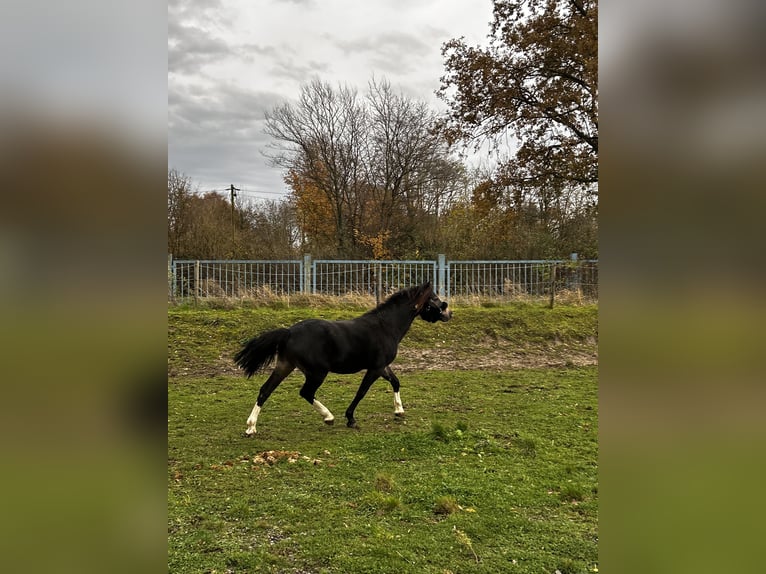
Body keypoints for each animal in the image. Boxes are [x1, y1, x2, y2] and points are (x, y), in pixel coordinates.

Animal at [232, 280, 450, 436]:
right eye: (434, 298)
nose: (449, 313)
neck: (386, 326)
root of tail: (289, 332)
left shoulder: (382, 366)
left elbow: (395, 382)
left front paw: (399, 411)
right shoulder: (375, 368)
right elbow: (361, 392)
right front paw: (350, 419)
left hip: (285, 365)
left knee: (265, 391)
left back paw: (251, 427)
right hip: (317, 373)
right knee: (305, 392)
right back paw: (329, 417)